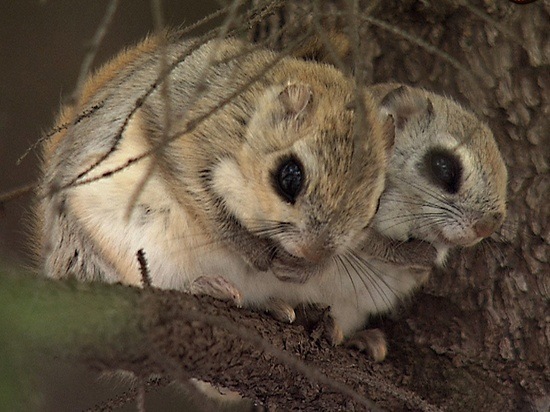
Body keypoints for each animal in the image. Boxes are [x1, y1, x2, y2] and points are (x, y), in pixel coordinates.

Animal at [37, 33, 406, 308]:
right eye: (290, 177)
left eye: (376, 202)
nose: (313, 252)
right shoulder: (178, 131)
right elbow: (201, 198)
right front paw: (252, 249)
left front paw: (303, 268)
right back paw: (204, 286)